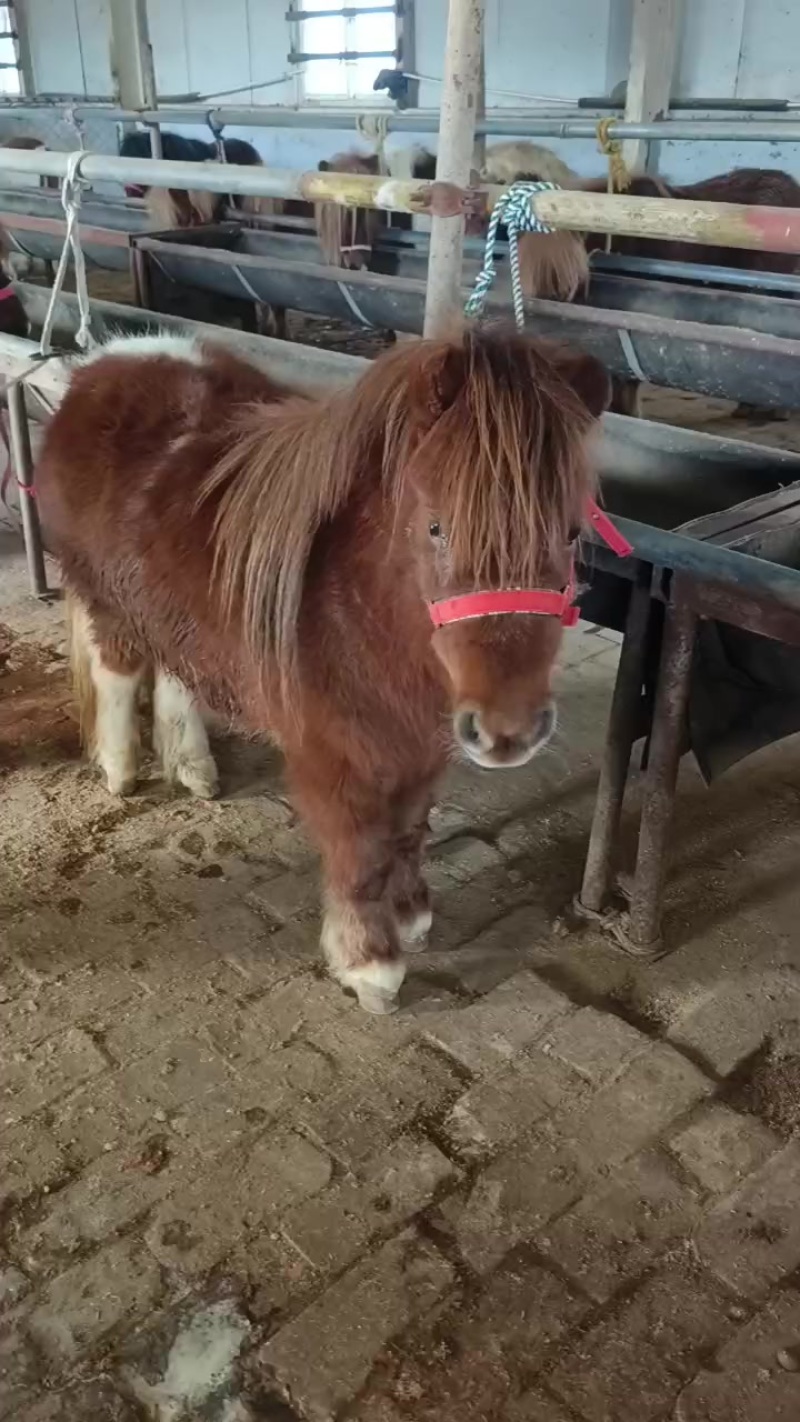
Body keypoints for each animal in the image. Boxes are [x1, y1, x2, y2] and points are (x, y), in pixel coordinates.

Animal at [35, 326, 610, 1014]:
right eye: (436, 527)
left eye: (572, 533)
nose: (509, 732)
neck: (359, 605)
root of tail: (108, 359)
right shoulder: (336, 758)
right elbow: (360, 853)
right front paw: (372, 965)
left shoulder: (419, 746)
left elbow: (409, 831)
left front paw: (412, 916)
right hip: (110, 602)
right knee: (117, 672)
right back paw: (121, 770)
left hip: (171, 611)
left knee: (177, 676)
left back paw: (194, 767)